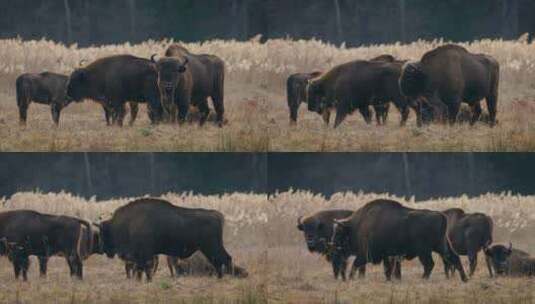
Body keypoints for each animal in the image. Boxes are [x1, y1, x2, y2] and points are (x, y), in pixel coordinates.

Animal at [98, 198, 245, 282]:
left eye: (105, 233)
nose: (106, 250)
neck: (128, 223)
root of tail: (216, 215)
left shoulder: (144, 254)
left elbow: (144, 267)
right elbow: (142, 269)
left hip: (211, 247)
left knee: (224, 259)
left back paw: (222, 278)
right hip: (209, 248)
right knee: (219, 261)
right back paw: (220, 277)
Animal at [332, 200, 466, 282]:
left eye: (339, 234)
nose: (333, 246)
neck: (357, 226)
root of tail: (441, 215)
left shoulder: (365, 254)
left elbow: (356, 264)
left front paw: (350, 278)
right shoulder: (387, 255)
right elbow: (388, 269)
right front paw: (388, 280)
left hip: (424, 251)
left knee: (430, 264)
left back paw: (423, 279)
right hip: (441, 246)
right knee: (454, 258)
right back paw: (464, 279)